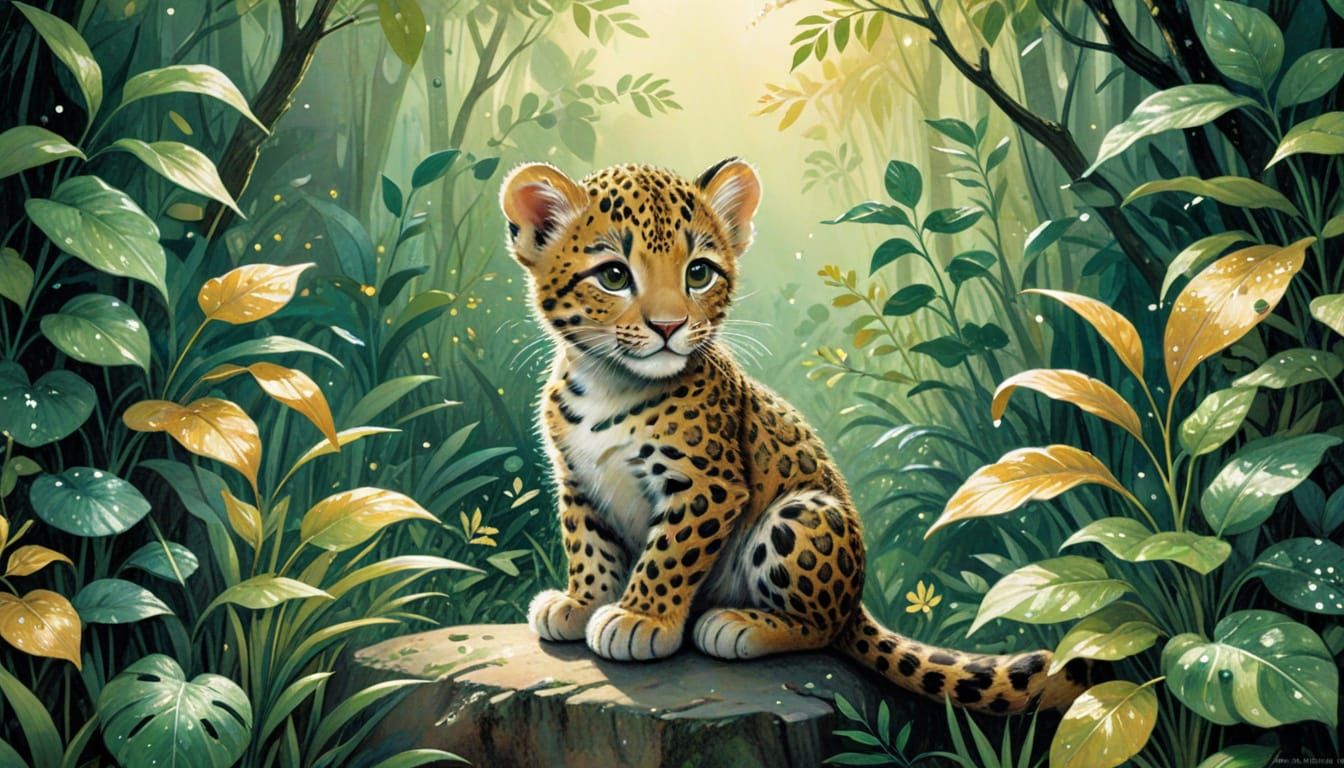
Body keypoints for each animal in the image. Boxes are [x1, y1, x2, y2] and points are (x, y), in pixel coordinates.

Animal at [498, 157, 1100, 714]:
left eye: (699, 273)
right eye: (614, 275)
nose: (669, 327)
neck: (607, 382)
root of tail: (858, 605)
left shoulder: (707, 485)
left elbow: (668, 554)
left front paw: (639, 617)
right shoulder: (578, 480)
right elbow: (588, 546)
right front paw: (580, 603)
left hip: (803, 514)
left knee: (823, 630)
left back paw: (739, 624)